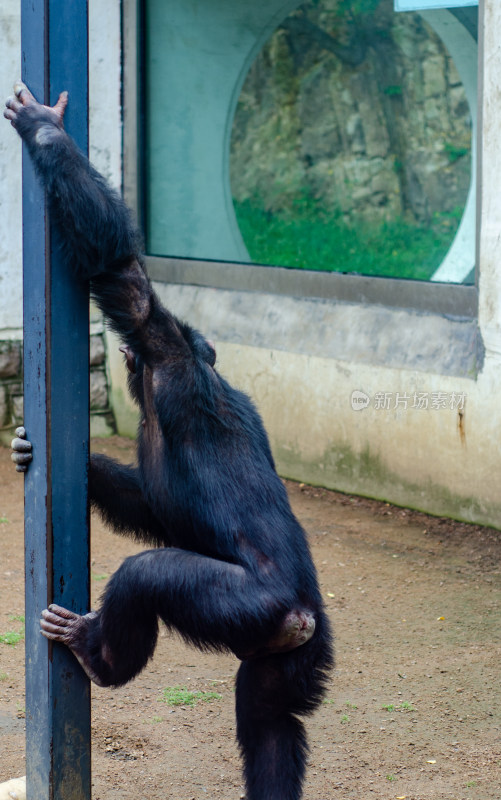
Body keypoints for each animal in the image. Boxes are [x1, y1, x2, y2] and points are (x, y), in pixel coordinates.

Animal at [5, 83, 332, 800]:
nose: (126, 362)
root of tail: (299, 612)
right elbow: (152, 507)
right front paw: (35, 452)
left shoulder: (164, 347)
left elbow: (121, 275)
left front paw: (45, 129)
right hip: (290, 655)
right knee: (270, 721)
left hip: (246, 606)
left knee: (145, 578)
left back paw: (97, 657)